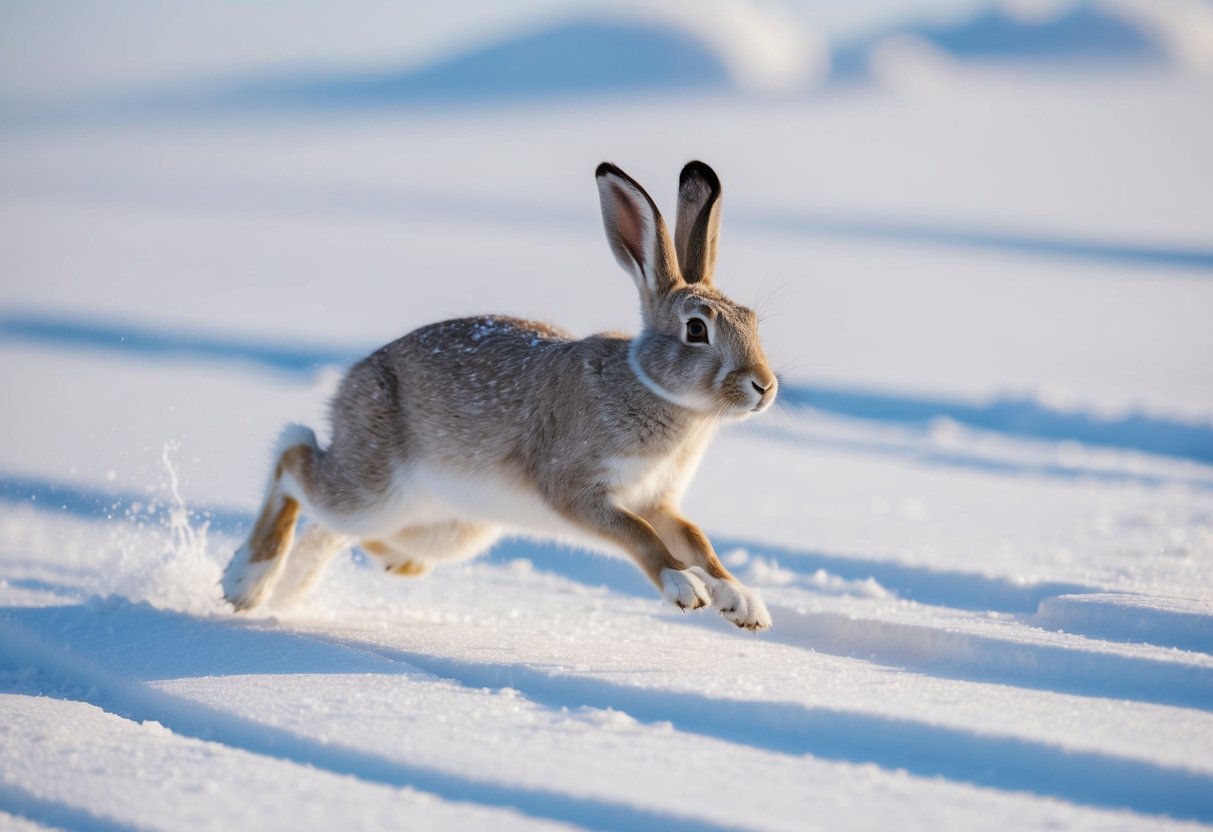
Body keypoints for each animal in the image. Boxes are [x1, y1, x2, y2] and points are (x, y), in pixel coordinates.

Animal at [222, 161, 778, 630]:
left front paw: (741, 602)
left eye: (752, 321)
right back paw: (247, 582)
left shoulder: (659, 500)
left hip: (448, 528)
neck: (654, 389)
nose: (765, 386)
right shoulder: (577, 488)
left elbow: (697, 540)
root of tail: (351, 383)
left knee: (337, 528)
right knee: (294, 457)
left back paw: (341, 575)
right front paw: (684, 588)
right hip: (373, 488)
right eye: (696, 330)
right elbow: (637, 535)